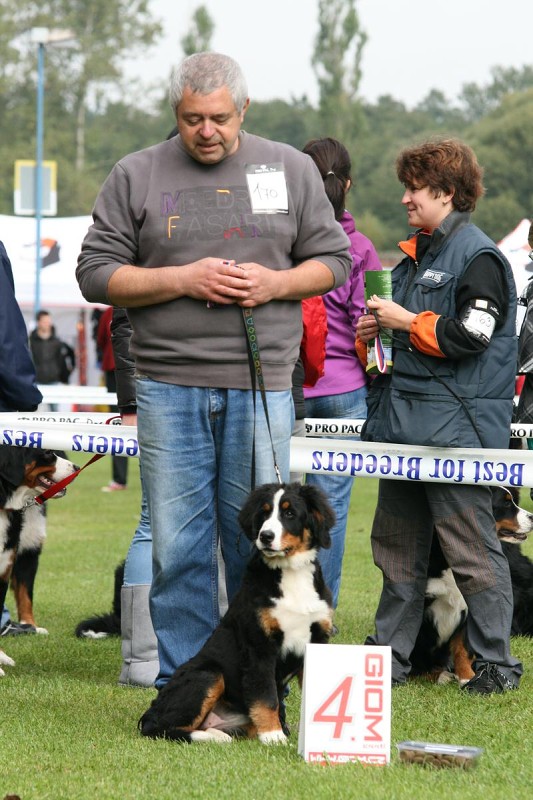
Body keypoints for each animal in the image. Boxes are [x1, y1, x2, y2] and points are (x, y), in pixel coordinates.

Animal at [139, 478, 334, 748]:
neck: (290, 574)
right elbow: (266, 696)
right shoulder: (259, 646)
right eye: (263, 513)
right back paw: (210, 736)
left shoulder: (316, 639)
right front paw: (273, 736)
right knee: (160, 727)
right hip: (209, 674)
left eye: (289, 513)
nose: (265, 536)